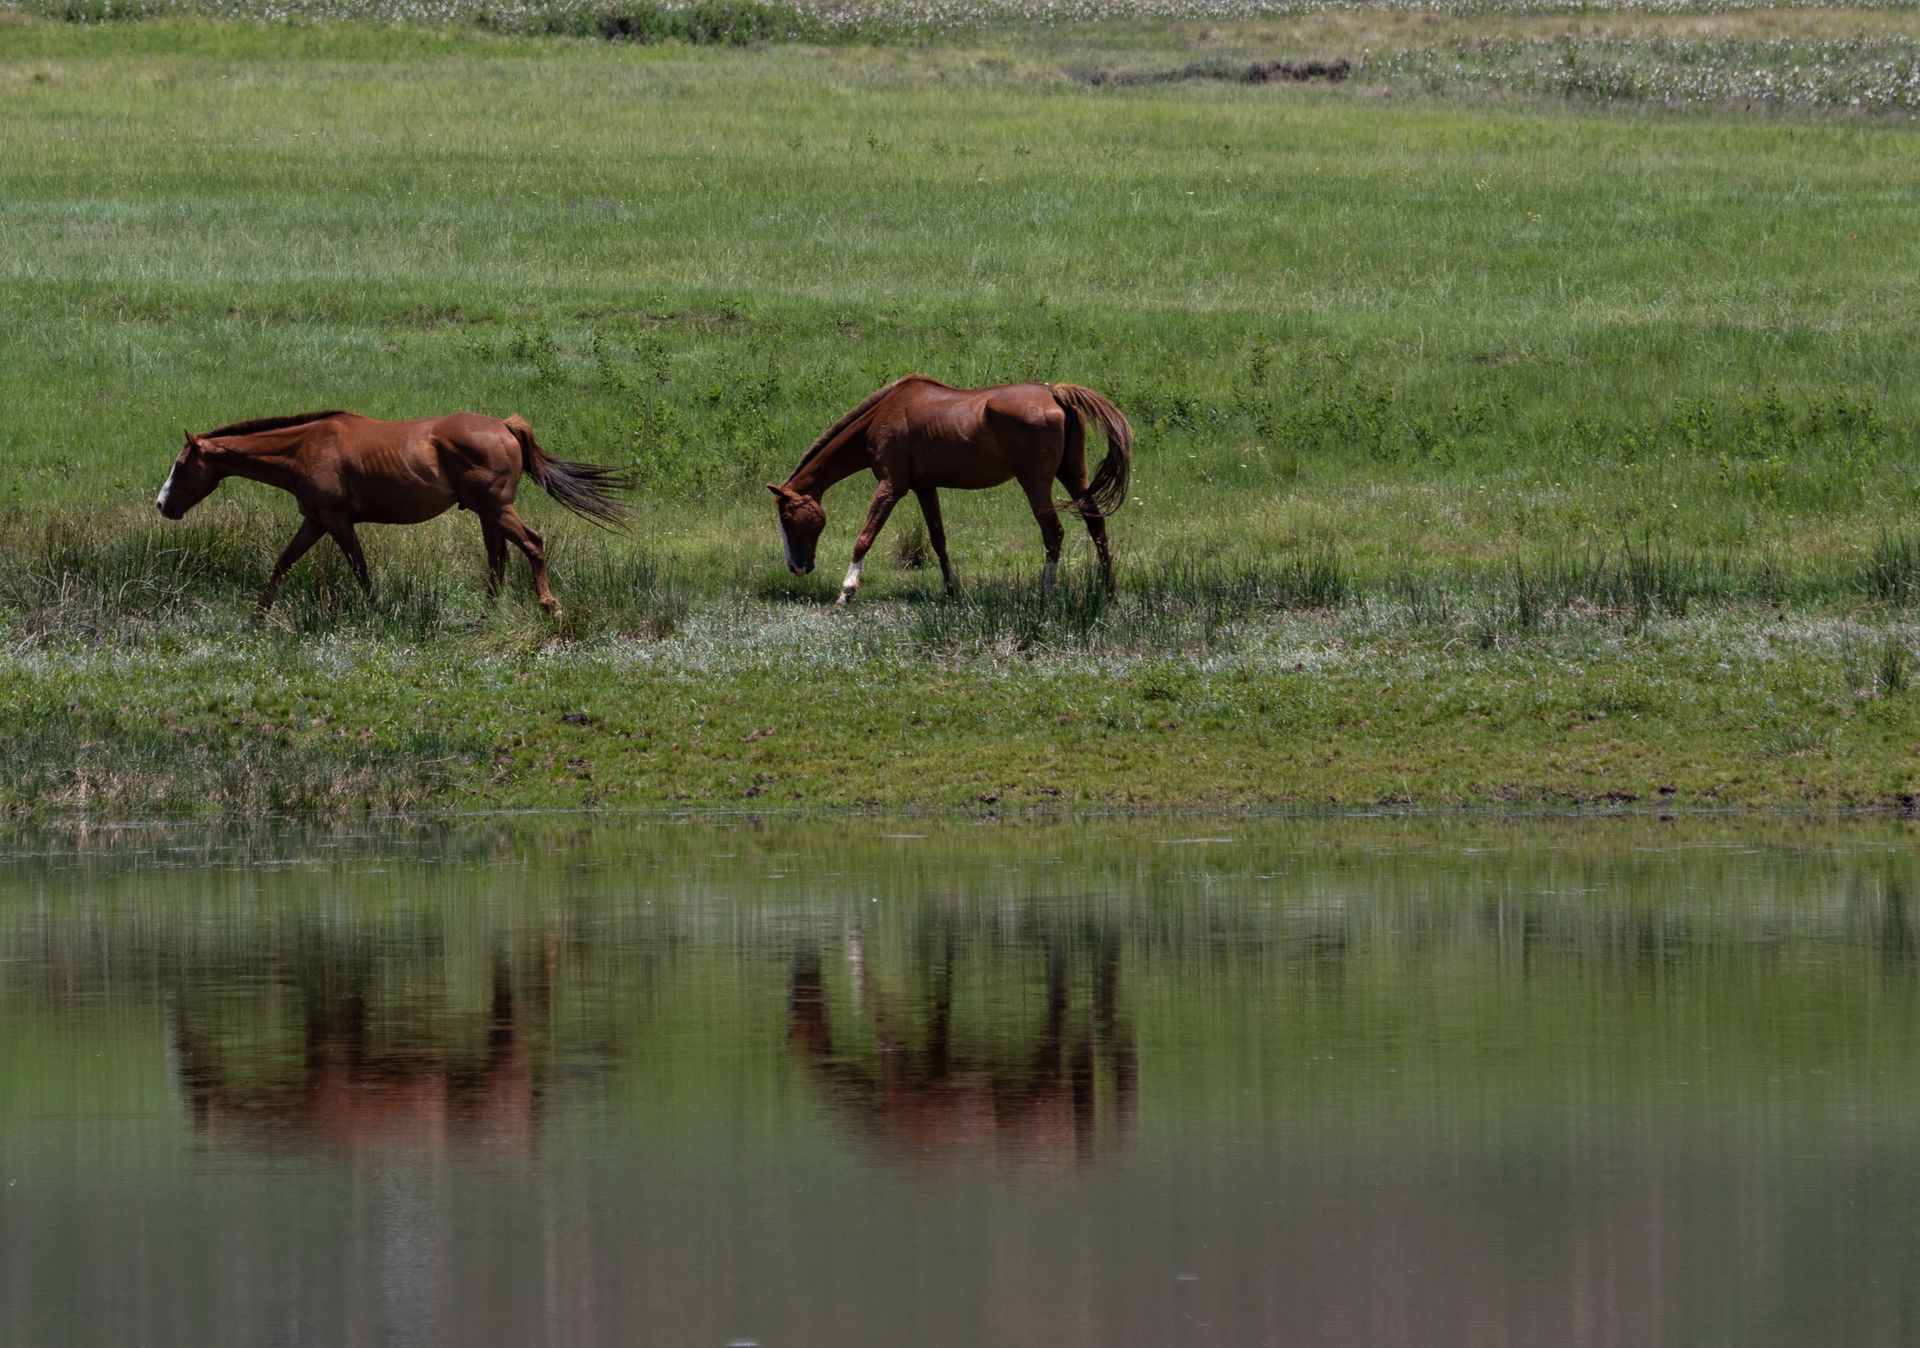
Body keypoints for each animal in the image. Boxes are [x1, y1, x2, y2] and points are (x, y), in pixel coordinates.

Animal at [154, 409, 632, 615]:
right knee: (498, 559)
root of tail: (504, 425)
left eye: (180, 465)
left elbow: (360, 569)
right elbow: (281, 565)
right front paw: (256, 617)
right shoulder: (315, 521)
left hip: (497, 508)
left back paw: (548, 605)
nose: (162, 504)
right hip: (487, 514)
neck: (305, 449)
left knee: (531, 543)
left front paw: (378, 612)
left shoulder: (336, 522)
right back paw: (486, 615)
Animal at [766, 375, 1133, 605]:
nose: (796, 567)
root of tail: (1054, 393)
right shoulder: (925, 487)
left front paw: (846, 592)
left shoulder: (890, 487)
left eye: (786, 518)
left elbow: (864, 537)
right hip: (1072, 475)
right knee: (1096, 524)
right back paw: (1110, 590)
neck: (884, 414)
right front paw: (951, 588)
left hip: (1036, 483)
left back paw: (1047, 594)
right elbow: (938, 539)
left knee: (1053, 532)